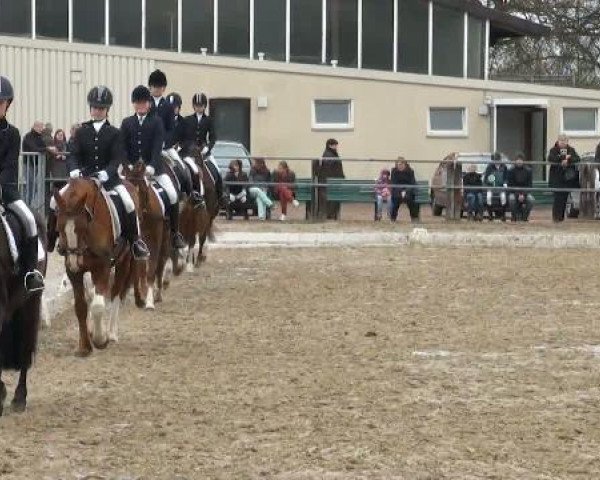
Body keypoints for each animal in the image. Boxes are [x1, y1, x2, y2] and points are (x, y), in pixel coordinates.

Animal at [53, 177, 146, 356]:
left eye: (83, 228)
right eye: (58, 228)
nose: (74, 262)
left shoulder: (102, 267)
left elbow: (98, 305)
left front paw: (100, 340)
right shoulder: (74, 273)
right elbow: (81, 306)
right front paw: (84, 346)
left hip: (124, 260)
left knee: (116, 293)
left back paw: (111, 333)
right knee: (93, 294)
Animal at [122, 162, 169, 312]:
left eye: (142, 191)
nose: (136, 218)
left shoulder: (154, 242)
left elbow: (151, 270)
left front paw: (149, 302)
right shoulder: (136, 245)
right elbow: (138, 271)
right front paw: (140, 296)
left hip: (164, 241)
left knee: (160, 264)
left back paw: (158, 293)